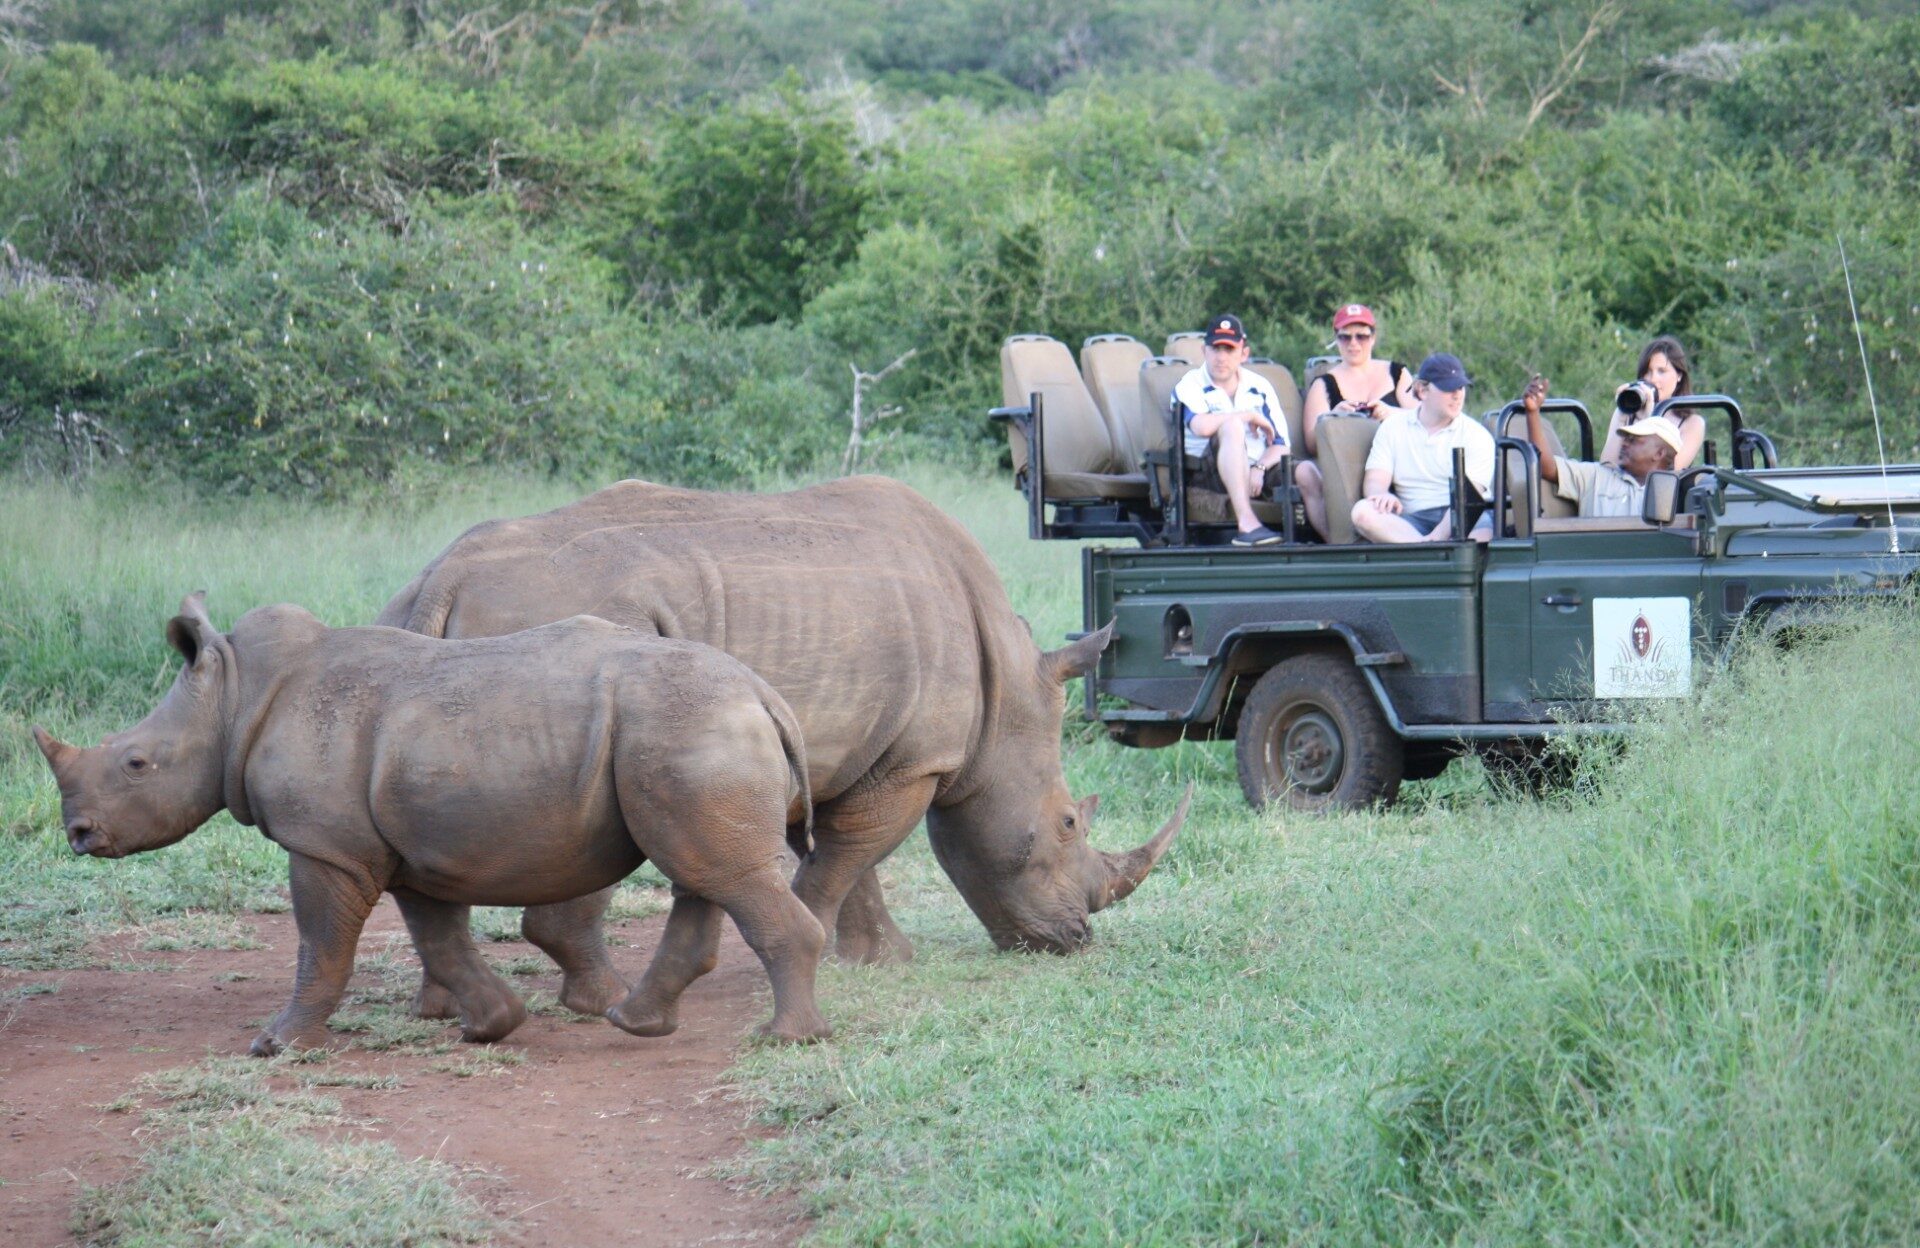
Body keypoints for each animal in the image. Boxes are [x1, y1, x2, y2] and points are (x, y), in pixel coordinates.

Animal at [33, 594, 830, 1055]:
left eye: (136, 763)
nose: (79, 834)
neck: (232, 699)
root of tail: (764, 693)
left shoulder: (327, 847)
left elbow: (322, 945)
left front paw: (276, 1046)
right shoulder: (405, 849)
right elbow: (439, 937)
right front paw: (491, 1026)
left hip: (685, 726)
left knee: (718, 873)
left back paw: (785, 1040)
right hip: (687, 731)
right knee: (706, 871)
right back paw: (638, 1024)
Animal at [378, 475, 1190, 1027]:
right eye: (1067, 825)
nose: (1075, 939)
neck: (1005, 693)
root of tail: (448, 578)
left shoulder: (847, 749)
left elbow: (846, 855)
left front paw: (878, 958)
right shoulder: (914, 758)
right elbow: (850, 856)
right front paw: (829, 949)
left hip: (420, 620)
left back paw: (443, 1008)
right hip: (571, 627)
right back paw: (602, 1001)